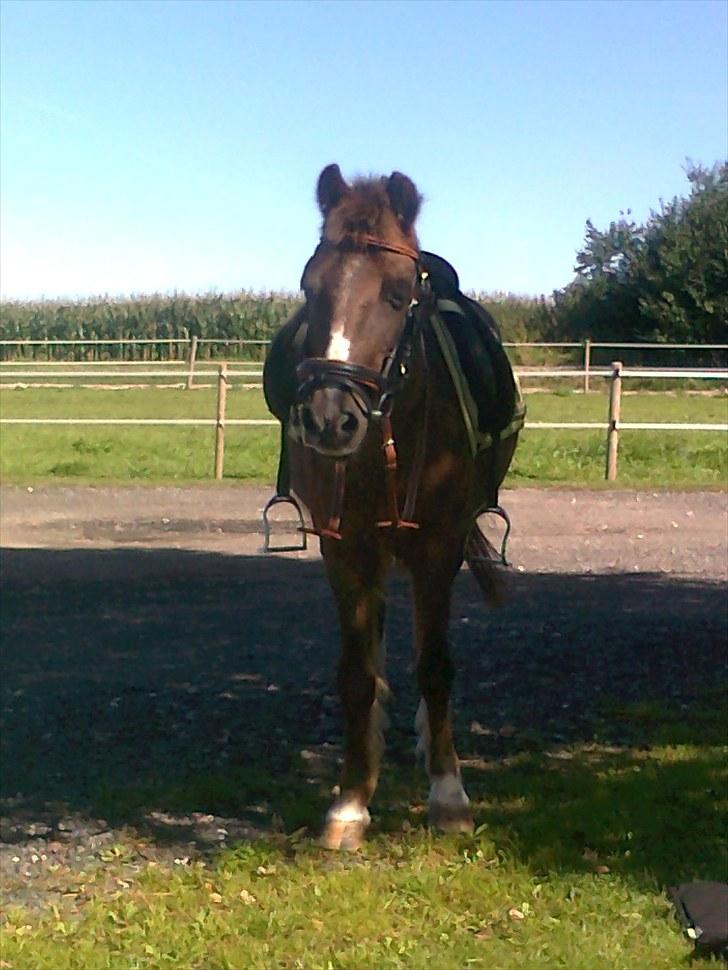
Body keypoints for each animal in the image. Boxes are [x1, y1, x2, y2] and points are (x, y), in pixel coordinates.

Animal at [263, 164, 522, 850]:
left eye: (400, 292)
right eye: (310, 285)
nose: (330, 419)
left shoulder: (439, 544)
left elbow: (435, 665)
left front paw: (448, 794)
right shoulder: (346, 548)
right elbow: (356, 673)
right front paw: (351, 800)